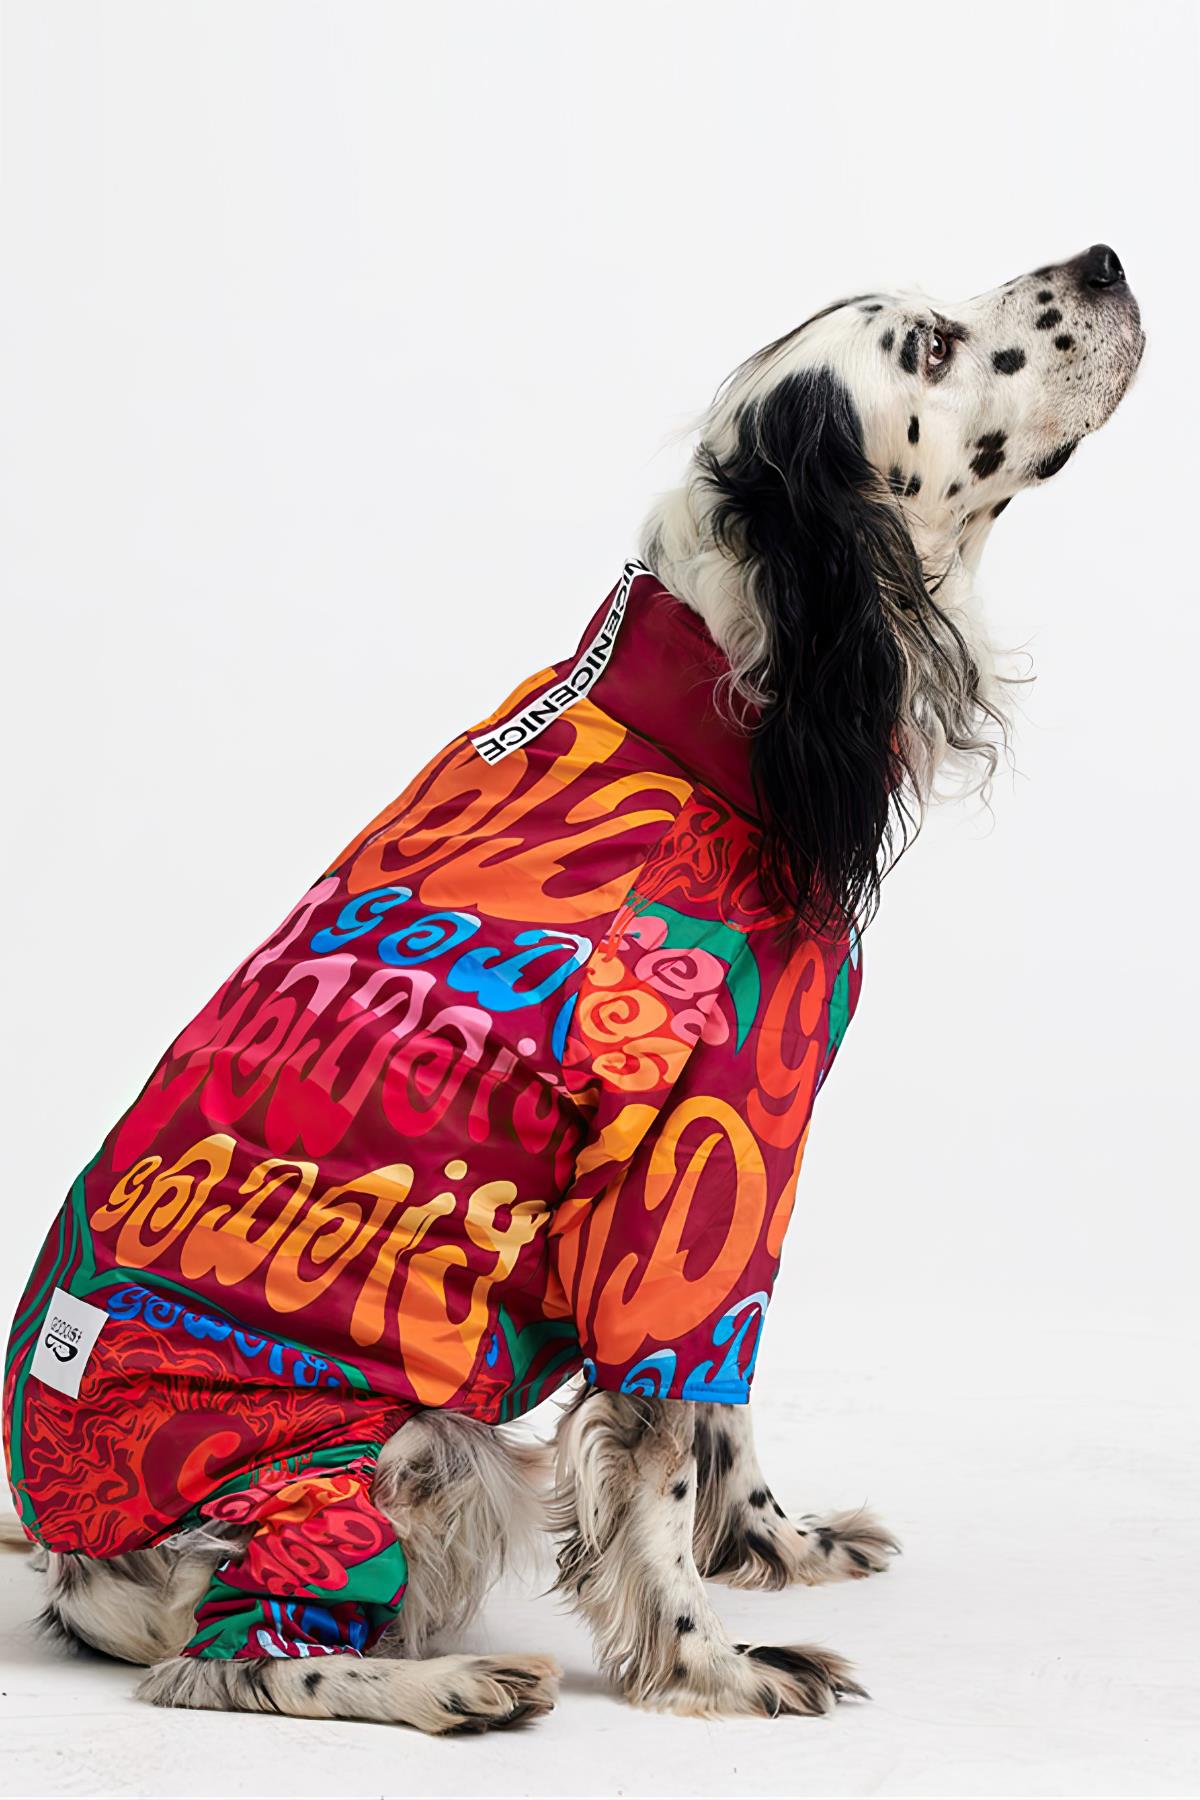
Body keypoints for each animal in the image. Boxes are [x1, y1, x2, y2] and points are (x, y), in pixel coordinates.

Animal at [3, 245, 1143, 1729]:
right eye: (934, 347)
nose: (1106, 260)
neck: (731, 697)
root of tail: (71, 1566)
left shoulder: (733, 1204)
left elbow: (726, 1414)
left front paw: (781, 1547)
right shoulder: (686, 1182)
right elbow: (659, 1448)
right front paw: (713, 1659)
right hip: (384, 1458)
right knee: (234, 1660)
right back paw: (453, 1685)